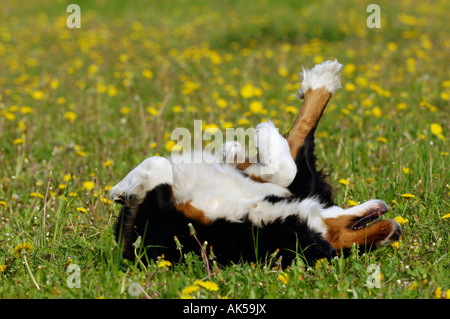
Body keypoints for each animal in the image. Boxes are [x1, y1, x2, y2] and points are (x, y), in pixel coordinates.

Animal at [108, 60, 400, 270]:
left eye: (352, 250)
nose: (396, 232)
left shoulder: (153, 231)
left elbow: (158, 167)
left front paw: (121, 189)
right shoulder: (292, 186)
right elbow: (289, 159)